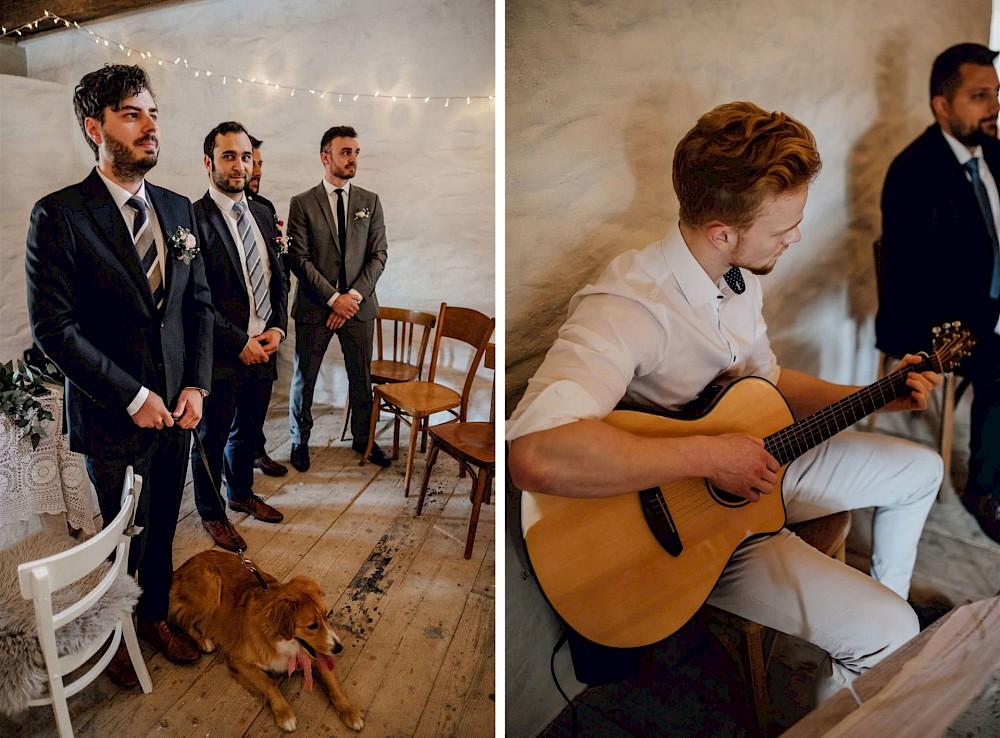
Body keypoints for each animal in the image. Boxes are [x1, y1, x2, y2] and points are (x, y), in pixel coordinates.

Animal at [168, 548, 364, 732]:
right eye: (312, 626)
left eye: (326, 616)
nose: (339, 648)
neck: (283, 641)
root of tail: (182, 567)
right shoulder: (239, 661)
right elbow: (269, 684)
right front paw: (284, 714)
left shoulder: (312, 654)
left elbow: (332, 683)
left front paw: (350, 711)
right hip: (210, 586)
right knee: (181, 620)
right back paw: (203, 641)